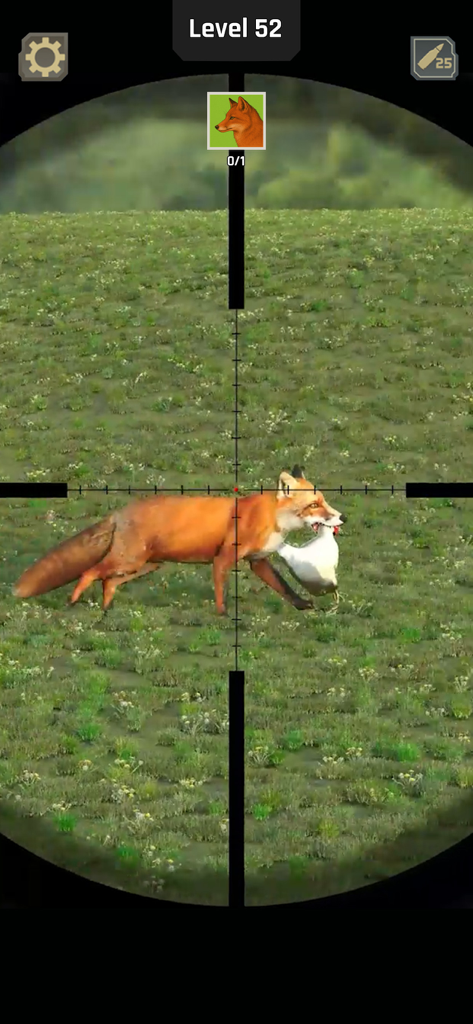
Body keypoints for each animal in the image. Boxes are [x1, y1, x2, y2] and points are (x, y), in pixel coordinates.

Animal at [13, 467, 343, 616]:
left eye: (324, 501)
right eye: (315, 505)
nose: (342, 517)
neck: (271, 518)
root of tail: (120, 511)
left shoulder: (257, 561)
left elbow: (284, 588)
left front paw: (302, 604)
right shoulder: (223, 558)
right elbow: (222, 592)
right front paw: (223, 617)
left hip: (145, 565)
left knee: (108, 581)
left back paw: (106, 609)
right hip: (130, 560)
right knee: (89, 572)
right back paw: (73, 602)